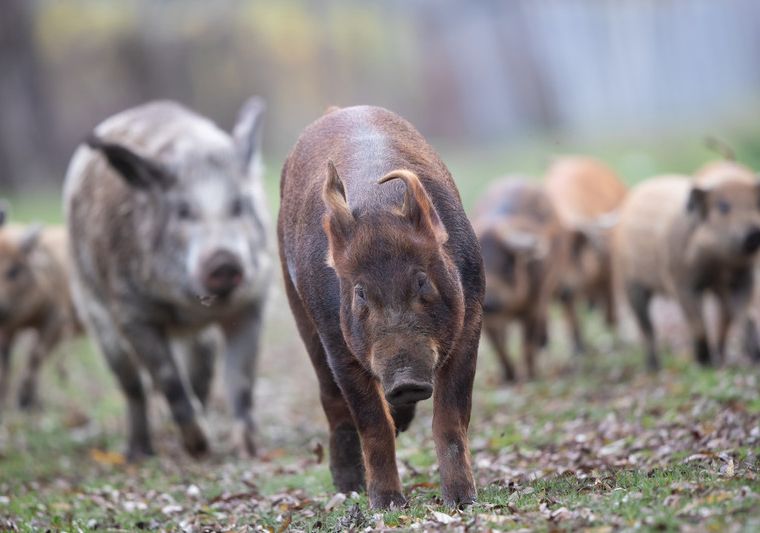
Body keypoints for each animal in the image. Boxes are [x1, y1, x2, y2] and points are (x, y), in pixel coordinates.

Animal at [476, 179, 564, 382]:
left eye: (508, 264)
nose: (490, 302)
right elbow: (498, 346)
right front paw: (509, 376)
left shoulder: (534, 304)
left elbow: (528, 342)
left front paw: (530, 376)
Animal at [544, 156, 628, 356]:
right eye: (549, 256)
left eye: (576, 248)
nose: (562, 288)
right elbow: (571, 316)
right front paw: (577, 349)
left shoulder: (610, 270)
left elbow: (611, 309)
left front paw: (618, 341)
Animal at [616, 172, 760, 368]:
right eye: (723, 206)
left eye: (756, 204)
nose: (754, 232)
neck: (717, 263)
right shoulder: (682, 283)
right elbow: (697, 324)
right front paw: (703, 363)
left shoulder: (743, 278)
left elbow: (746, 317)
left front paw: (755, 359)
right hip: (630, 283)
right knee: (646, 326)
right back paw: (653, 367)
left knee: (726, 318)